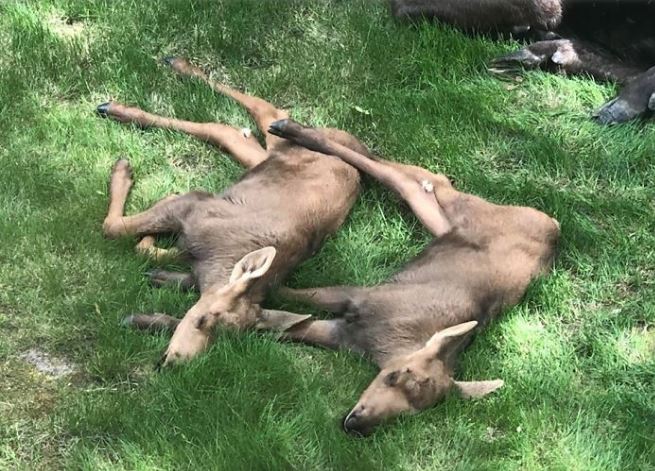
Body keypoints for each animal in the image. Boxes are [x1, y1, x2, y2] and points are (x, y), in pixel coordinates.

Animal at [98, 58, 368, 366]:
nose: (178, 361)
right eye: (204, 319)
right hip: (280, 145)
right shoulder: (195, 205)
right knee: (264, 111)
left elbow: (147, 249)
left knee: (227, 130)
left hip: (265, 160)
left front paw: (153, 250)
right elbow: (114, 228)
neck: (215, 265)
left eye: (226, 338)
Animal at [264, 120, 560, 436]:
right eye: (393, 376)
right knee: (402, 176)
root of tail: (555, 227)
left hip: (440, 220)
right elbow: (286, 293)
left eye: (408, 414)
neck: (384, 344)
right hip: (460, 209)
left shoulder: (342, 334)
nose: (356, 424)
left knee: (416, 177)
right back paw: (289, 129)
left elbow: (281, 325)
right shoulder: (360, 297)